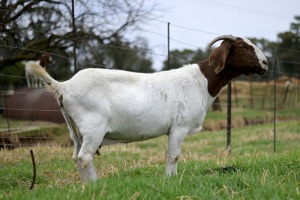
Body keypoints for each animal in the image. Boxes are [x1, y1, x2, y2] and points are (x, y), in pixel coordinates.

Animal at [31, 35, 270, 182]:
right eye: (242, 46)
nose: (266, 63)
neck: (201, 81)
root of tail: (64, 86)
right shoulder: (179, 128)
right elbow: (173, 156)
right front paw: (170, 180)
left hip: (75, 131)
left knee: (76, 157)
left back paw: (86, 185)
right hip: (93, 128)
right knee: (85, 157)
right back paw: (96, 185)